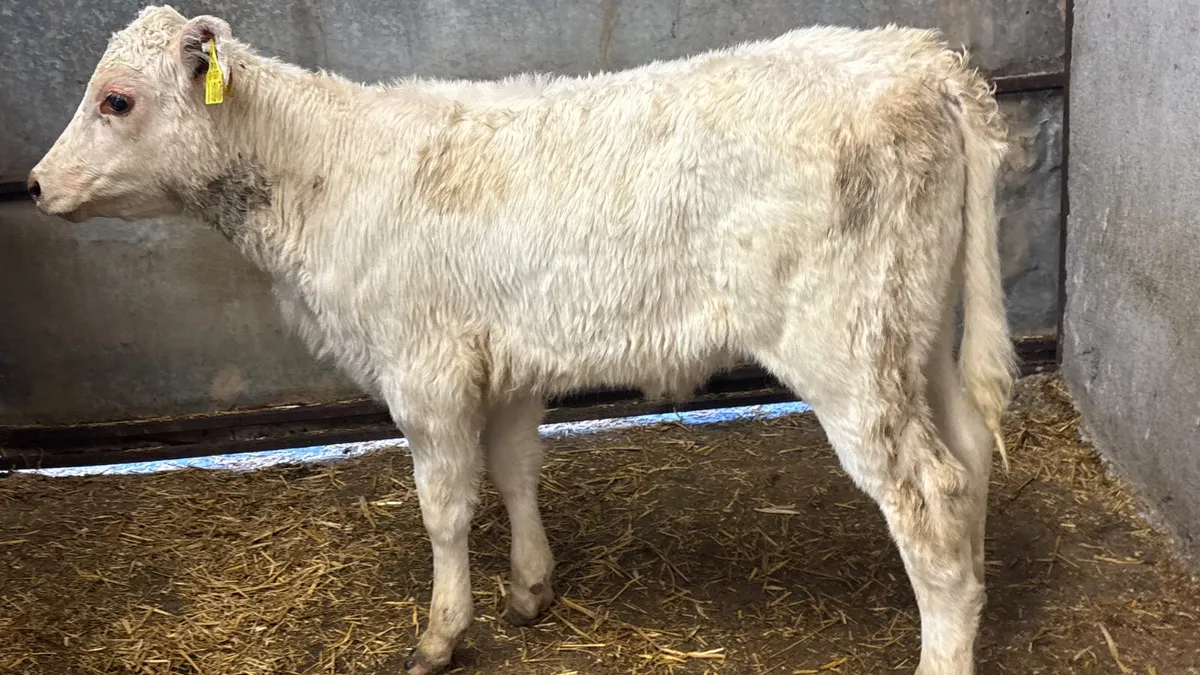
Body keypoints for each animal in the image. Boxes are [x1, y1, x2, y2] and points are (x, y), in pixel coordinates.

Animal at [27, 6, 1016, 674]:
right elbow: (514, 472)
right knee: (969, 453)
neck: (316, 172)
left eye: (116, 99)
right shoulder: (501, 360)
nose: (34, 184)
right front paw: (531, 588)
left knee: (927, 489)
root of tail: (918, 57)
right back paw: (970, 598)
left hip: (846, 346)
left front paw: (440, 632)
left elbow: (444, 505)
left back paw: (941, 648)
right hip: (915, 329)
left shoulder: (423, 369)